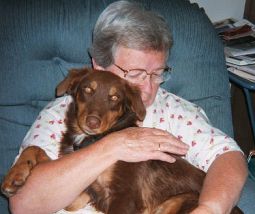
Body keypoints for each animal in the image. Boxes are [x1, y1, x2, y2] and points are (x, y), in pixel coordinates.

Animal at [0, 68, 243, 214]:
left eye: (115, 98)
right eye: (88, 90)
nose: (93, 122)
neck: (92, 139)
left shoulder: (124, 196)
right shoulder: (77, 193)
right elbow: (34, 148)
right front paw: (15, 177)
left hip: (179, 201)